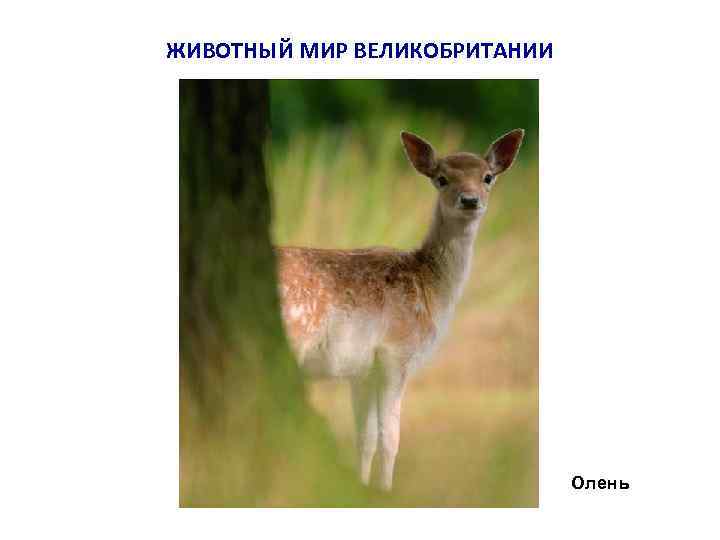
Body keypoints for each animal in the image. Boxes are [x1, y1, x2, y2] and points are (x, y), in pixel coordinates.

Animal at [276, 129, 524, 491]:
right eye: (441, 178)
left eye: (487, 177)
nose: (469, 200)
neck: (430, 288)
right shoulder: (396, 351)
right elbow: (389, 438)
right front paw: (385, 491)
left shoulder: (361, 370)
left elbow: (364, 439)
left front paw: (364, 488)